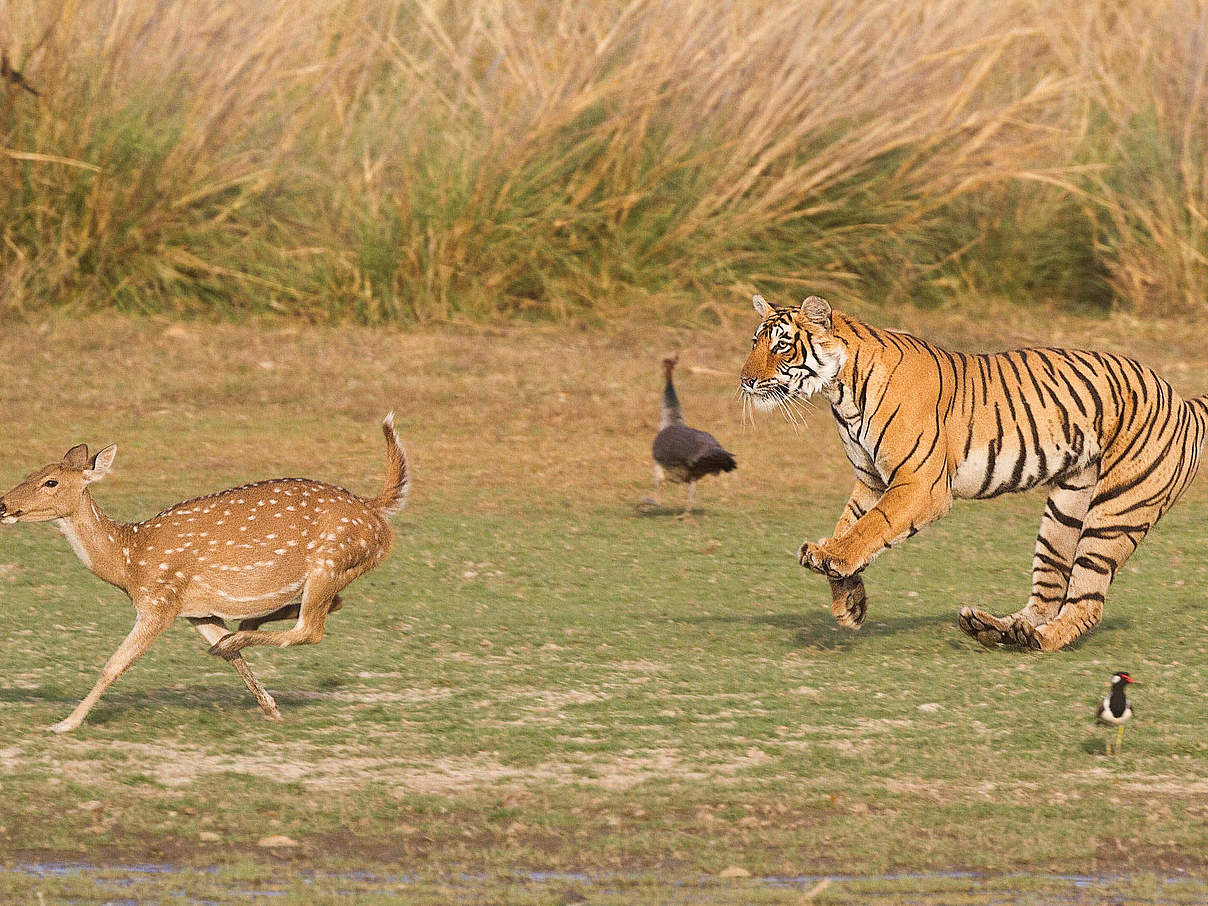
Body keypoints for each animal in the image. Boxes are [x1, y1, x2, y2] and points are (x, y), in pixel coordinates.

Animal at [0, 413, 409, 733]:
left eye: (51, 482)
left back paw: (238, 635)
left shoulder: (160, 600)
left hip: (329, 561)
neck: (129, 560)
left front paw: (65, 723)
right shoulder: (195, 611)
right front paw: (270, 707)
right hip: (333, 572)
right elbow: (234, 660)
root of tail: (376, 510)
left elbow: (114, 664)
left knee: (311, 628)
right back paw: (241, 632)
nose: (3, 504)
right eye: (32, 472)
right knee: (330, 606)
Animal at [739, 293, 1208, 651]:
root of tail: (1181, 399)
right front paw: (848, 602)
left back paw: (1038, 639)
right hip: (1065, 510)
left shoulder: (918, 484)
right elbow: (851, 525)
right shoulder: (871, 480)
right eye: (754, 343)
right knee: (1048, 594)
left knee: (1088, 602)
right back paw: (999, 628)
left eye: (782, 346)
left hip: (1116, 512)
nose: (744, 381)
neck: (841, 392)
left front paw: (831, 558)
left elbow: (871, 528)